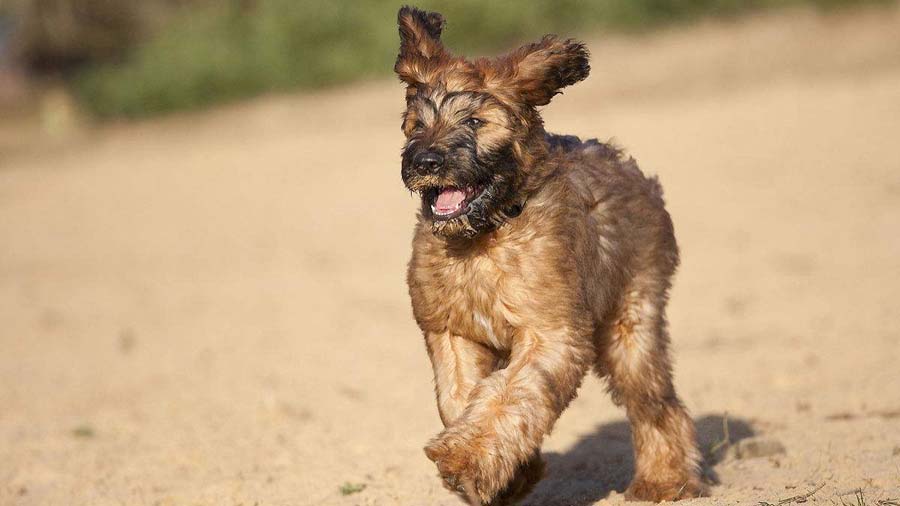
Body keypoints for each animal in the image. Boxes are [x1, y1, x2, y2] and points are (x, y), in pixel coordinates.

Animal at [398, 5, 708, 504]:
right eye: (416, 123)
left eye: (475, 122)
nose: (426, 161)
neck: (486, 236)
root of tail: (636, 173)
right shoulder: (451, 331)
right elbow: (461, 397)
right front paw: (511, 473)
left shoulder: (552, 332)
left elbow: (510, 395)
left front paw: (466, 460)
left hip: (630, 322)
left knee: (656, 402)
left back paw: (666, 480)